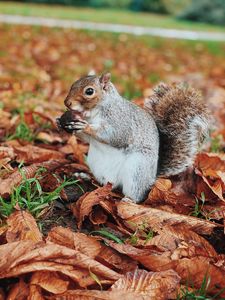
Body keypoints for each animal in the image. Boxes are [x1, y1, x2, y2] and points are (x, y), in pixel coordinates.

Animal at [58, 73, 209, 203]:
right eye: (73, 84)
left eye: (89, 91)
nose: (67, 103)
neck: (94, 111)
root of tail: (152, 177)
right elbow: (87, 139)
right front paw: (60, 122)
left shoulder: (120, 121)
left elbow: (115, 135)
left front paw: (86, 126)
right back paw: (86, 177)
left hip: (137, 169)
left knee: (137, 193)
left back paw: (129, 200)